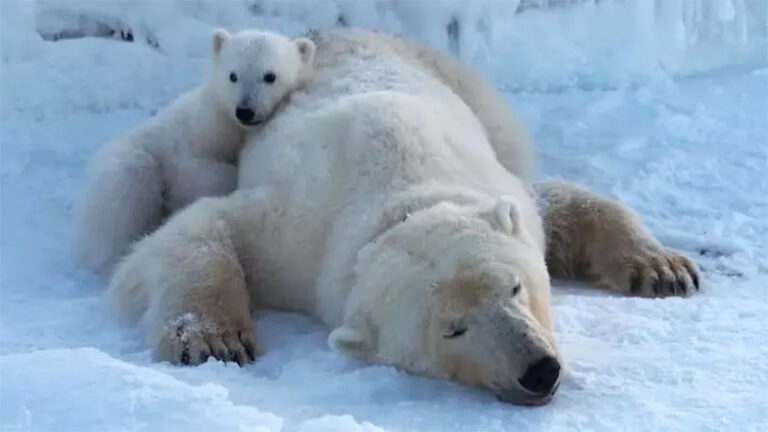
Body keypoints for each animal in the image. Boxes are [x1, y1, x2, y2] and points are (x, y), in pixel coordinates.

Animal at [73, 28, 316, 273]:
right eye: (233, 75)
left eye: (270, 76)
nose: (244, 111)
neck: (228, 128)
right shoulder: (191, 141)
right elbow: (196, 174)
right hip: (123, 167)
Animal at [106, 28, 699, 405]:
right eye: (453, 330)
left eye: (514, 287)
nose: (539, 371)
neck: (399, 193)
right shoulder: (298, 236)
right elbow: (201, 230)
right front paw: (214, 340)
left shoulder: (489, 182)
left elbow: (559, 203)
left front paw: (664, 270)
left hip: (472, 91)